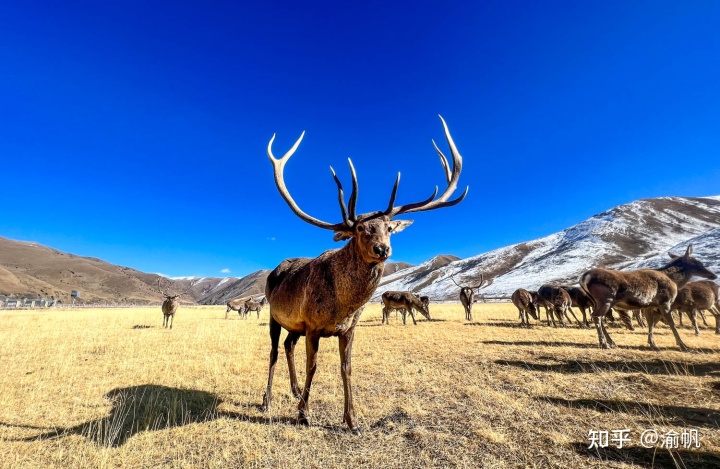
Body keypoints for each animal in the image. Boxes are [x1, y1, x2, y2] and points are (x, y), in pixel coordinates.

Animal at [258, 115, 466, 434]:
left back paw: (293, 391)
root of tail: (274, 270)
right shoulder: (313, 326)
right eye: (359, 228)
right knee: (273, 352)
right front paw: (304, 414)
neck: (342, 306)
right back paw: (267, 400)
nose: (383, 248)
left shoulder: (347, 329)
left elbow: (346, 368)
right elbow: (313, 366)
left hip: (294, 324)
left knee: (288, 345)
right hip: (274, 313)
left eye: (389, 227)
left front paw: (352, 421)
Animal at [580, 247, 716, 350]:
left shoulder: (650, 305)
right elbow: (671, 323)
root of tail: (584, 278)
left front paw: (652, 344)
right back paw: (605, 344)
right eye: (698, 262)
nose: (713, 275)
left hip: (596, 301)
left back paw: (612, 342)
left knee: (597, 316)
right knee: (596, 316)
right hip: (606, 299)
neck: (674, 281)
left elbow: (651, 323)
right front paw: (683, 345)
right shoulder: (665, 301)